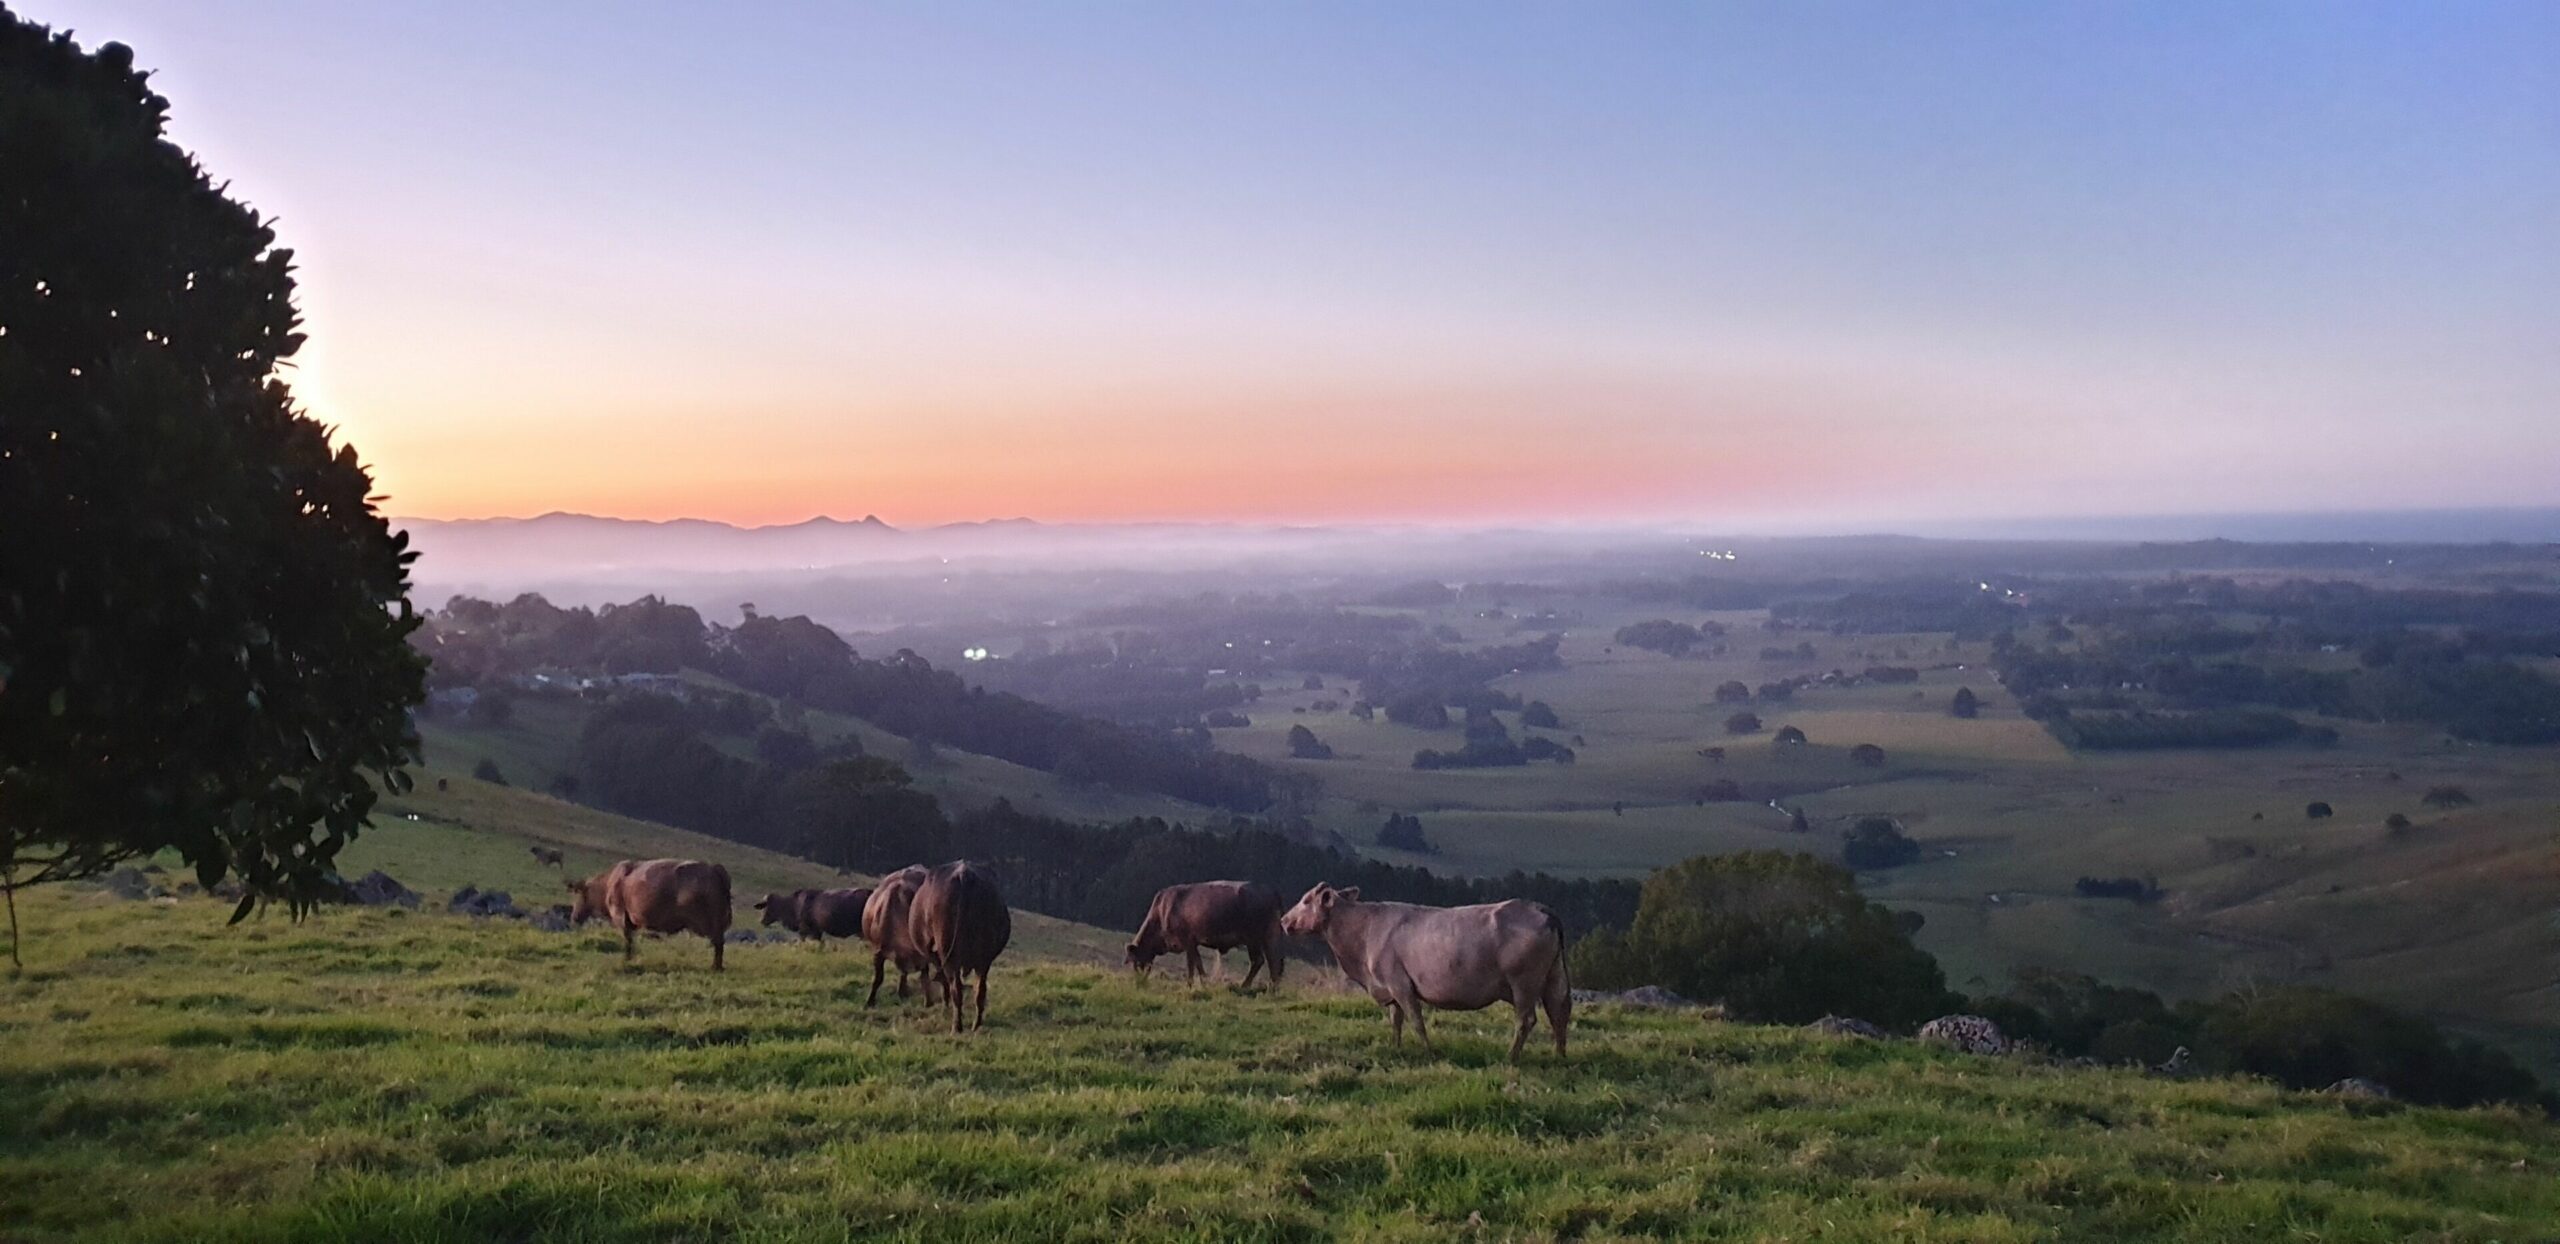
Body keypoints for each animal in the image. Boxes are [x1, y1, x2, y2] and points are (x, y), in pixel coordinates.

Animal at [568, 854, 732, 972]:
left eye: (578, 894)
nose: (574, 917)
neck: (608, 883)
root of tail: (714, 869)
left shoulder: (621, 916)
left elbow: (628, 940)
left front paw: (627, 959)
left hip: (710, 922)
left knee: (718, 943)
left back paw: (716, 967)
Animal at [911, 860, 1008, 1034]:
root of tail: (964, 874)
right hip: (983, 959)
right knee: (980, 990)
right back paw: (976, 1025)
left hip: (950, 956)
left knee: (956, 988)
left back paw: (956, 1026)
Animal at [1126, 880, 1290, 988]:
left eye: (1136, 961)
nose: (1139, 981)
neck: (1161, 912)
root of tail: (1270, 890)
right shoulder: (1191, 943)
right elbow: (1192, 963)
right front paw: (1192, 983)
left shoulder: (1187, 940)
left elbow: (1195, 962)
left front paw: (1201, 982)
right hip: (1269, 936)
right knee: (1274, 962)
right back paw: (1271, 989)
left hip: (1253, 938)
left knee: (1260, 960)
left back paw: (1245, 985)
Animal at [1274, 880, 1556, 1064]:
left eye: (1306, 900)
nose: (1284, 920)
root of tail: (1538, 907)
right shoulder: (1389, 987)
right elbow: (1396, 1020)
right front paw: (1395, 1047)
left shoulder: (1400, 984)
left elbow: (1416, 1021)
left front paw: (1429, 1053)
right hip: (1552, 982)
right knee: (1557, 1018)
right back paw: (1558, 1055)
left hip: (1524, 984)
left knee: (1526, 1020)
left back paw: (1511, 1057)